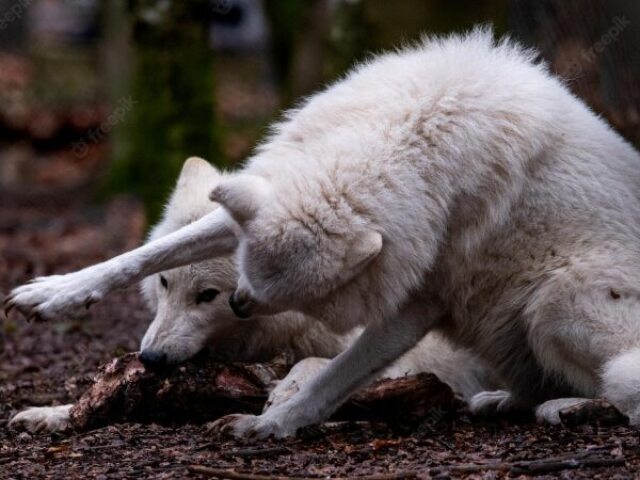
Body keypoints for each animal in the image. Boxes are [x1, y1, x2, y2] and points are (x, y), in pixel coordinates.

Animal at [11, 158, 500, 436]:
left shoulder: (409, 357)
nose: (149, 359)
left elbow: (322, 365)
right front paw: (51, 412)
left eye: (208, 295)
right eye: (165, 284)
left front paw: (289, 390)